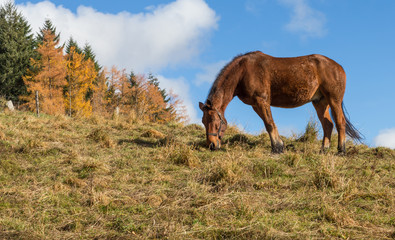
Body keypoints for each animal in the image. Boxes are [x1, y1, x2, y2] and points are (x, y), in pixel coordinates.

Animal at [200, 51, 364, 155]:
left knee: (340, 122)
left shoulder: (262, 101)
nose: (211, 145)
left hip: (334, 99)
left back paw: (341, 150)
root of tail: (338, 66)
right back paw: (324, 150)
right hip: (320, 102)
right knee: (328, 125)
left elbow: (269, 123)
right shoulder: (256, 105)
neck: (243, 72)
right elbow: (269, 123)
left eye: (215, 121)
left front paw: (277, 148)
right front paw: (279, 146)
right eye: (203, 121)